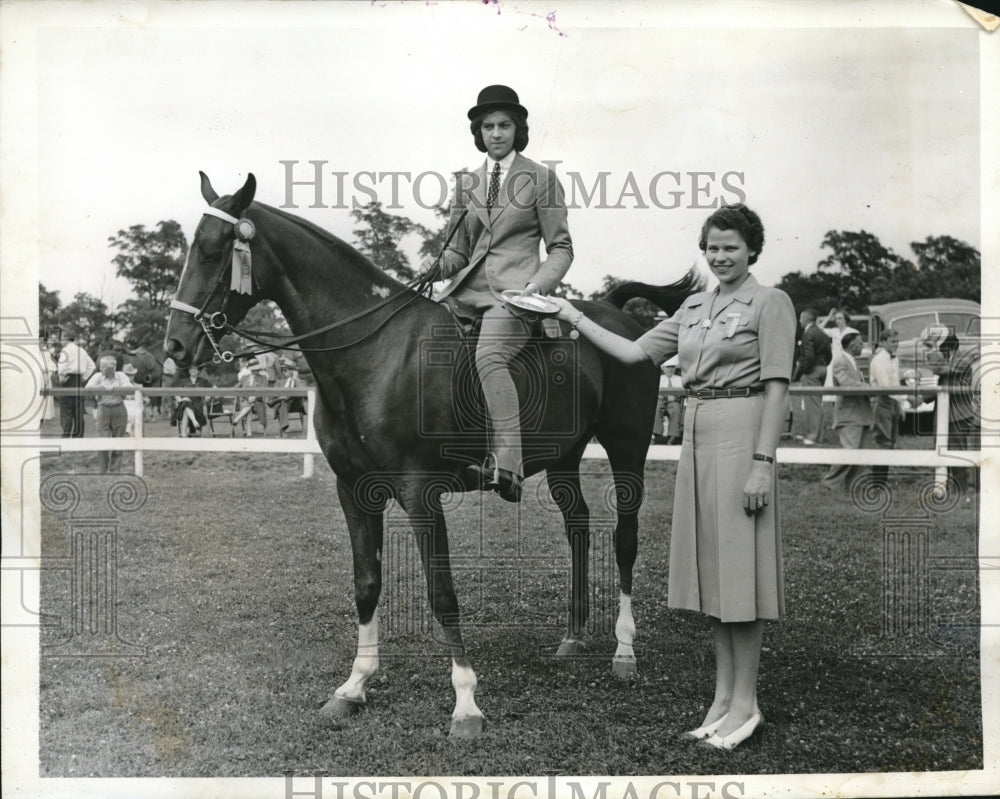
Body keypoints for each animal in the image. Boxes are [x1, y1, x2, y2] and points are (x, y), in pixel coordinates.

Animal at [164, 172, 700, 740]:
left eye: (213, 249)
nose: (175, 346)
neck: (374, 354)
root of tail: (614, 313)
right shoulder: (355, 491)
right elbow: (367, 583)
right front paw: (353, 686)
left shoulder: (421, 494)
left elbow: (442, 593)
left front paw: (466, 703)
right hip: (565, 457)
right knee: (577, 525)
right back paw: (573, 636)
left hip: (627, 447)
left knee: (625, 539)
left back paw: (624, 650)